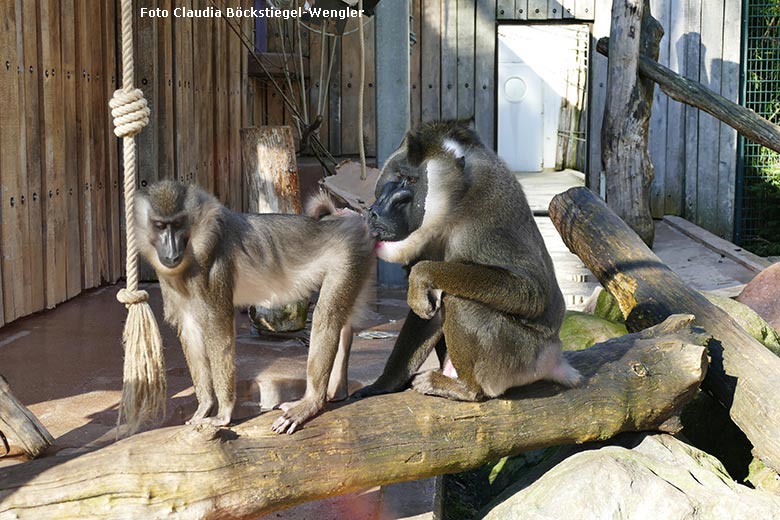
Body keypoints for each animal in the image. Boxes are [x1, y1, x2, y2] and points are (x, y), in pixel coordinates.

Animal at [137, 181, 374, 432]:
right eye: (160, 226)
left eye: (178, 225)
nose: (171, 251)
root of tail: (346, 220)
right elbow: (191, 332)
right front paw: (205, 406)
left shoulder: (215, 271)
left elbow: (220, 333)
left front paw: (224, 414)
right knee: (343, 323)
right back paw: (337, 390)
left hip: (348, 258)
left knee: (326, 318)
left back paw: (311, 402)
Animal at [356, 122, 580, 402]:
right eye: (396, 177)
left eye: (411, 180)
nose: (375, 212)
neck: (454, 202)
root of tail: (553, 356)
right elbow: (427, 312)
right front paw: (383, 384)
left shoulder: (489, 213)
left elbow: (532, 292)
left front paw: (421, 275)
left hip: (518, 358)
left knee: (459, 300)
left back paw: (466, 389)